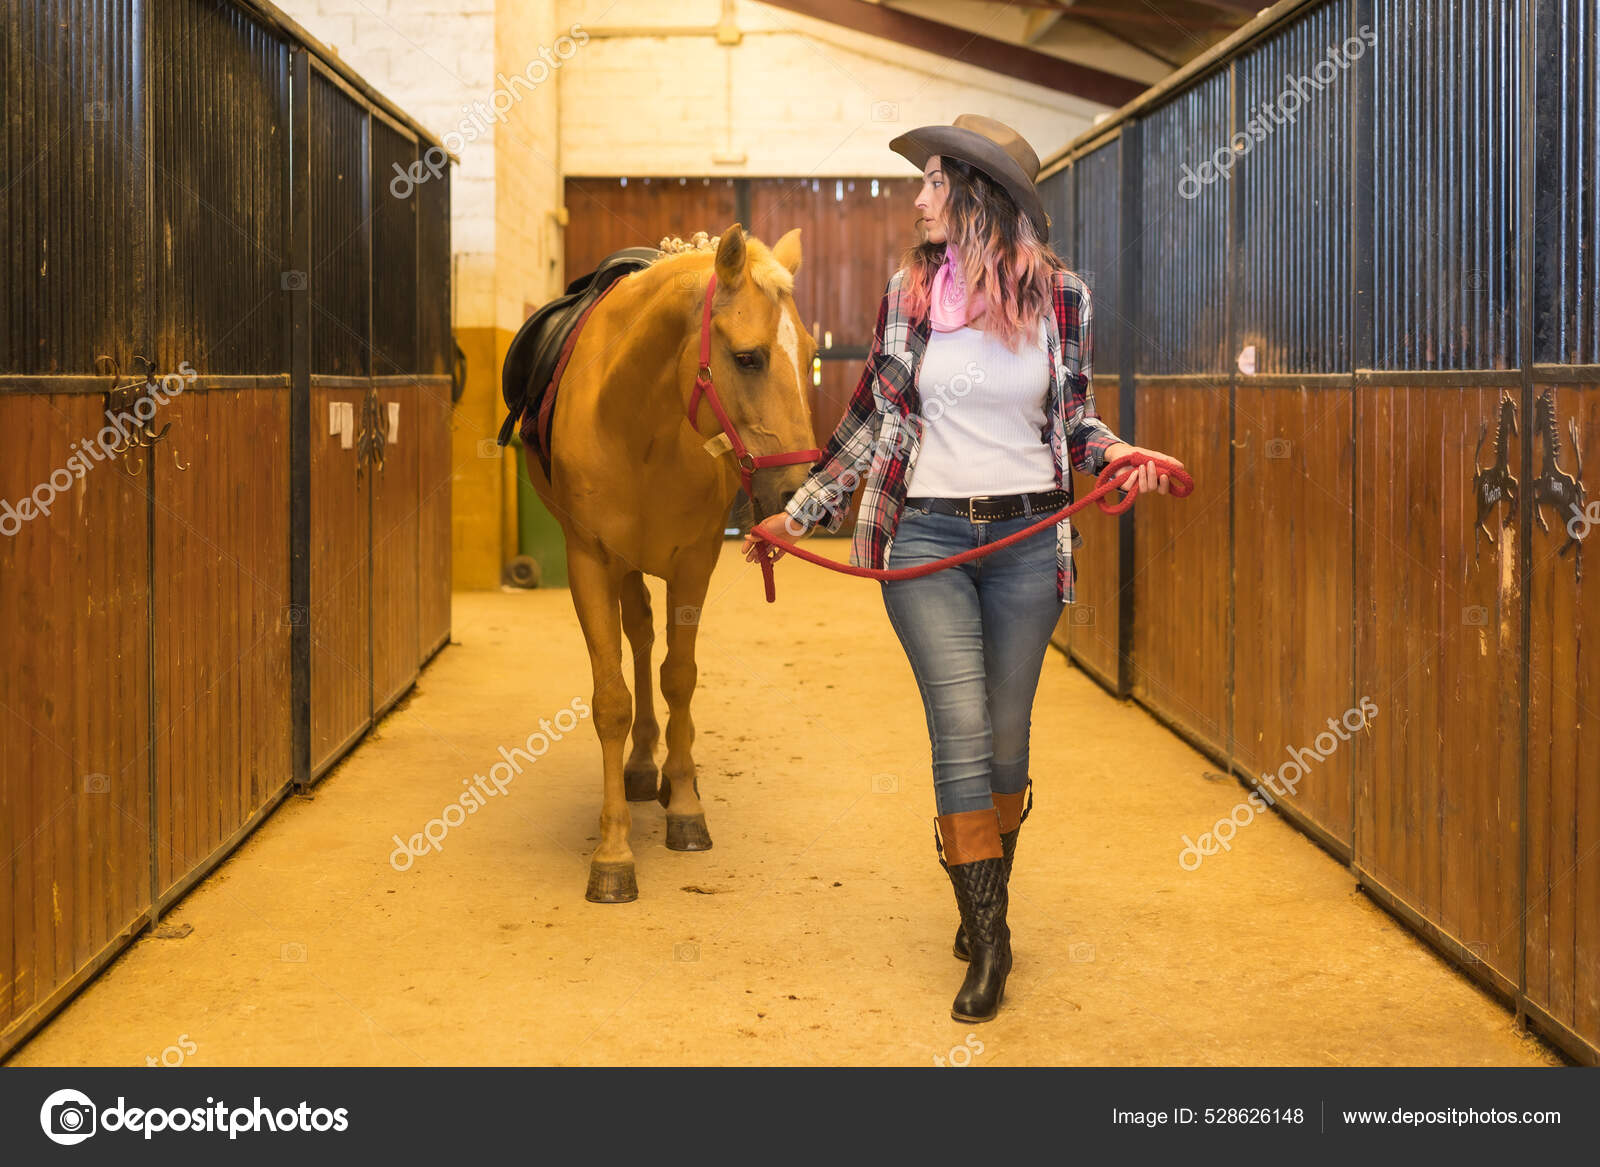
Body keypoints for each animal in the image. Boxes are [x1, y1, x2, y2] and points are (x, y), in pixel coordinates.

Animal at [528, 225, 825, 902]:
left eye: (810, 355)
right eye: (748, 358)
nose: (796, 493)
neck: (639, 423)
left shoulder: (694, 562)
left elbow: (680, 678)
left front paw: (686, 806)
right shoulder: (589, 562)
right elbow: (611, 699)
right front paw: (613, 853)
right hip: (621, 566)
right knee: (637, 637)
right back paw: (640, 768)